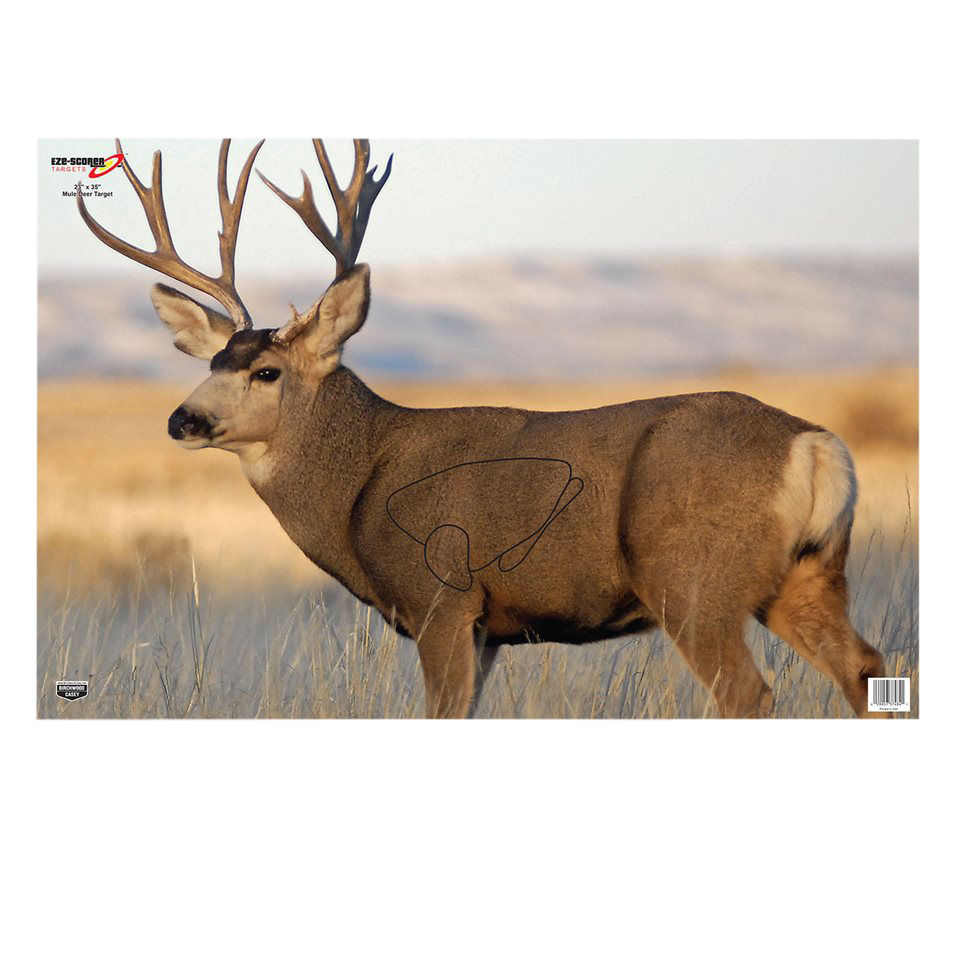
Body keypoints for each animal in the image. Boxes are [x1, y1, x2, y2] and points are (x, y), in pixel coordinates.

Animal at [77, 137, 888, 720]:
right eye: (215, 358)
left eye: (267, 372)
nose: (183, 418)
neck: (360, 487)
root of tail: (815, 446)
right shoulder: (491, 629)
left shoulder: (442, 598)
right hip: (806, 575)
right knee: (869, 669)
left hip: (692, 580)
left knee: (753, 693)